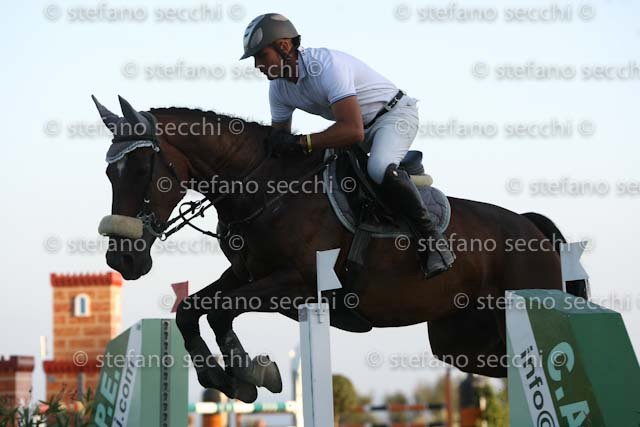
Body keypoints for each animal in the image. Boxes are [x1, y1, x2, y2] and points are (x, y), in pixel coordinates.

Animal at [93, 95, 585, 403]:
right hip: (459, 341)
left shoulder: (297, 284)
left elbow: (218, 311)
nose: (122, 258)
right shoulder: (247, 276)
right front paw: (226, 378)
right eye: (110, 173)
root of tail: (534, 229)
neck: (265, 187)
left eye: (142, 167)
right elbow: (191, 310)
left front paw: (251, 373)